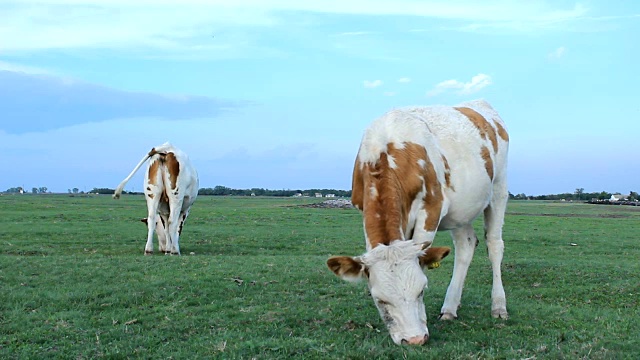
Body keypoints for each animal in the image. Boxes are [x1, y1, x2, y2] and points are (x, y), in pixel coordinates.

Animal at [328, 99, 508, 346]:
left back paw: (498, 306)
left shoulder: (431, 210)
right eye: (379, 300)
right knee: (466, 246)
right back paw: (450, 308)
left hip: (499, 187)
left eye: (422, 290)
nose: (414, 339)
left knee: (494, 245)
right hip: (461, 209)